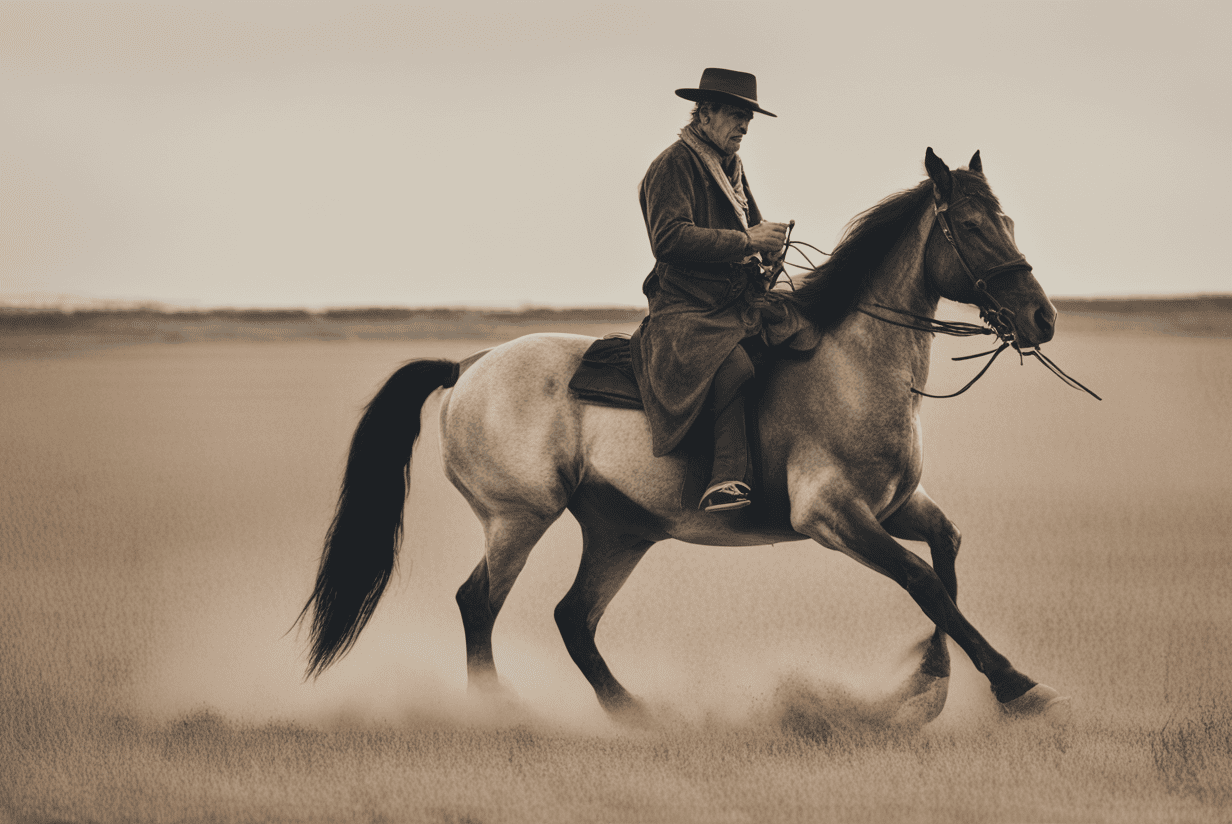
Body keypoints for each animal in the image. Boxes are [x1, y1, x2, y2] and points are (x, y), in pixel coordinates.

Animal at [298, 148, 1071, 725]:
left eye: (1005, 219)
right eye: (971, 226)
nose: (1041, 318)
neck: (856, 364)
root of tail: (468, 368)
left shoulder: (896, 505)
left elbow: (946, 557)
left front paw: (929, 680)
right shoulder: (830, 514)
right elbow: (921, 580)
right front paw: (1014, 685)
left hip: (619, 531)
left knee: (572, 617)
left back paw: (634, 713)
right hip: (520, 519)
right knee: (479, 603)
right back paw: (501, 712)